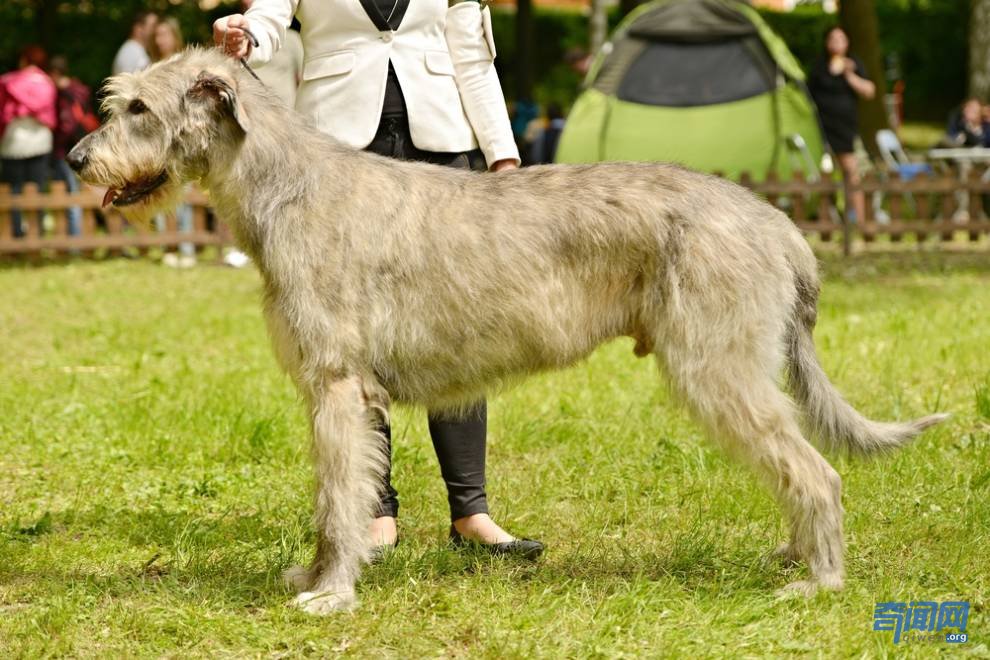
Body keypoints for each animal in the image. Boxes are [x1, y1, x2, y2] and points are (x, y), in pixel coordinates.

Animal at [66, 50, 948, 612]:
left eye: (138, 107)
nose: (76, 158)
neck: (287, 185)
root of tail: (777, 221)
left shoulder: (337, 387)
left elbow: (341, 496)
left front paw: (333, 594)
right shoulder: (335, 393)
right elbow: (333, 495)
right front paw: (313, 576)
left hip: (717, 367)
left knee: (815, 470)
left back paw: (819, 581)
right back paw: (797, 555)